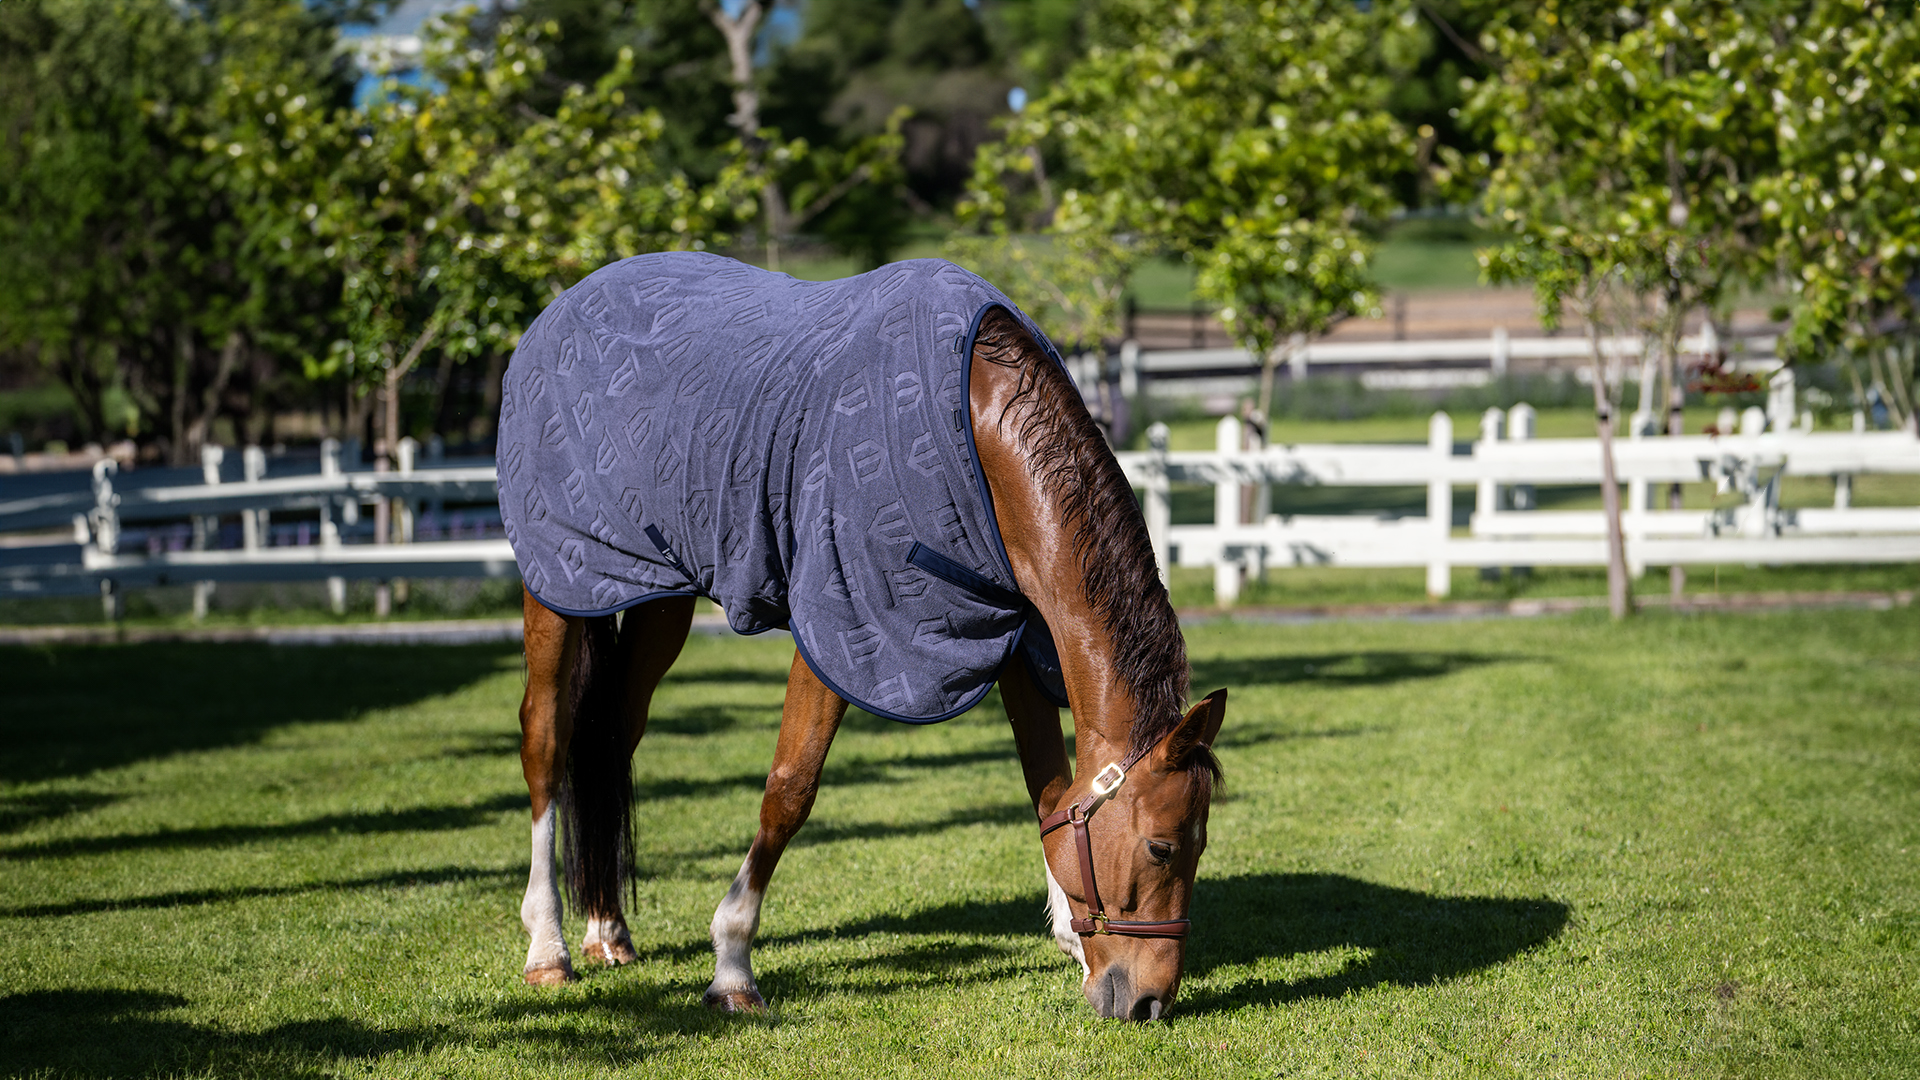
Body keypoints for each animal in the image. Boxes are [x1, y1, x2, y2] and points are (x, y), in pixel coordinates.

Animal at [498, 253, 1227, 1021]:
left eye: (1200, 846)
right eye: (1161, 849)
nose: (1149, 1002)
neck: (976, 428)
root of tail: (568, 301)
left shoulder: (1008, 630)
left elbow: (1049, 786)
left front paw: (1071, 937)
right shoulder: (841, 627)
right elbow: (791, 788)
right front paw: (732, 964)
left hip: (652, 595)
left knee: (613, 734)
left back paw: (607, 928)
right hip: (559, 582)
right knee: (545, 738)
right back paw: (547, 947)